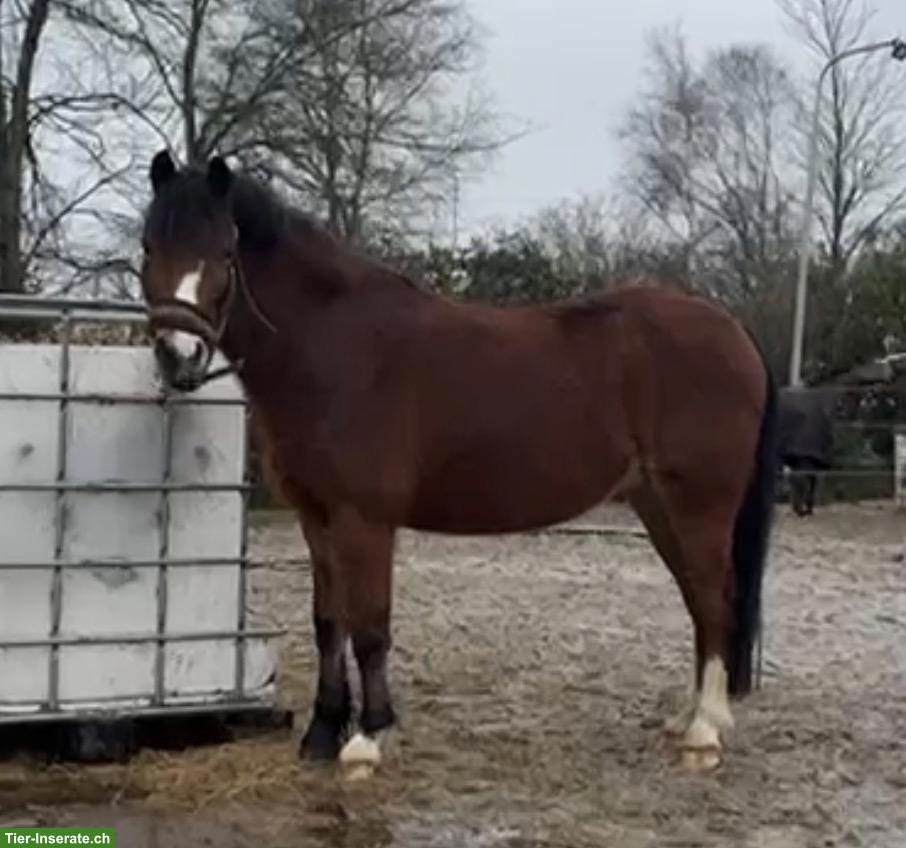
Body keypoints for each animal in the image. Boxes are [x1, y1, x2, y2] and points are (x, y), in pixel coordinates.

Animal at [137, 149, 778, 775]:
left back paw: (704, 732)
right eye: (148, 247)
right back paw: (690, 717)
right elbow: (329, 623)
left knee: (714, 598)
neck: (333, 348)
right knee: (699, 603)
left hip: (699, 505)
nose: (179, 357)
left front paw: (368, 737)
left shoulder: (364, 520)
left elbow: (369, 626)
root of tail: (737, 334)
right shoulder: (315, 519)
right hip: (657, 505)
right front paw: (322, 732)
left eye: (224, 253)